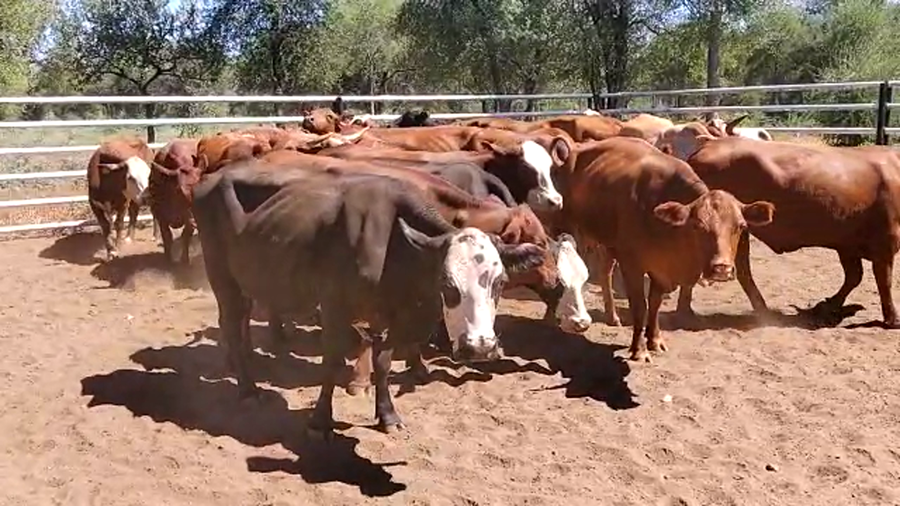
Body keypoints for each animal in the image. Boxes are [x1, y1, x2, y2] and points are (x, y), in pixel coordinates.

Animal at [192, 163, 546, 435]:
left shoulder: (389, 316)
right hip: (221, 275)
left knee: (240, 320)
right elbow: (333, 361)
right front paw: (320, 421)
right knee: (230, 323)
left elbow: (384, 362)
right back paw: (247, 389)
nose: (480, 347)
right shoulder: (334, 306)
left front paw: (387, 416)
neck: (392, 244)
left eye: (500, 282)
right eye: (447, 284)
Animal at [548, 136, 775, 361]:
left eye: (741, 226)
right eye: (697, 225)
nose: (722, 268)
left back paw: (612, 316)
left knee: (605, 272)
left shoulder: (660, 269)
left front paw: (655, 340)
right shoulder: (632, 265)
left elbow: (655, 304)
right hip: (570, 229)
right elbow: (640, 305)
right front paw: (639, 350)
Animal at [665, 135, 900, 328]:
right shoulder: (885, 244)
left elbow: (854, 277)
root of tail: (710, 143)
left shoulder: (847, 245)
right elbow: (883, 280)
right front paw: (893, 319)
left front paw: (827, 306)